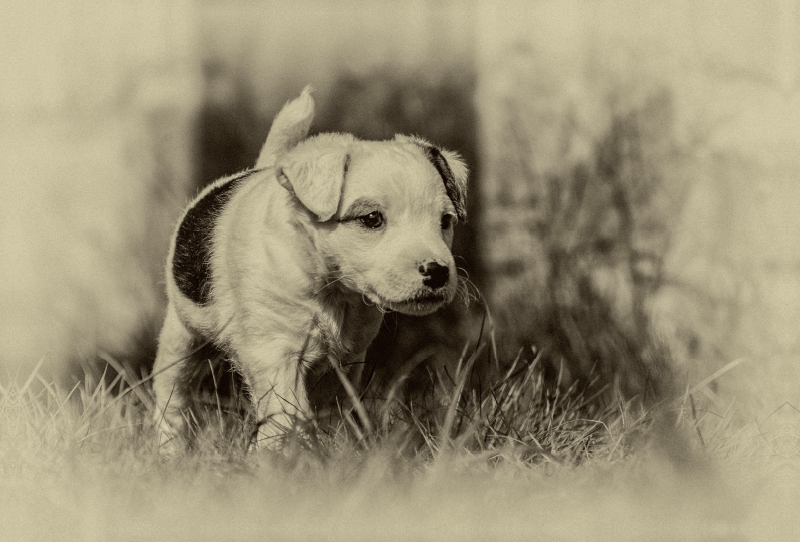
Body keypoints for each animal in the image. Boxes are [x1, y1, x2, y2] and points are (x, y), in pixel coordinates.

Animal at [152, 89, 466, 452]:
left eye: (445, 221)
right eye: (372, 218)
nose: (438, 271)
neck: (332, 289)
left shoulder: (345, 361)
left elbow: (331, 412)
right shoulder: (275, 351)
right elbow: (287, 412)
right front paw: (281, 453)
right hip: (181, 338)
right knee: (174, 393)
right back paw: (169, 447)